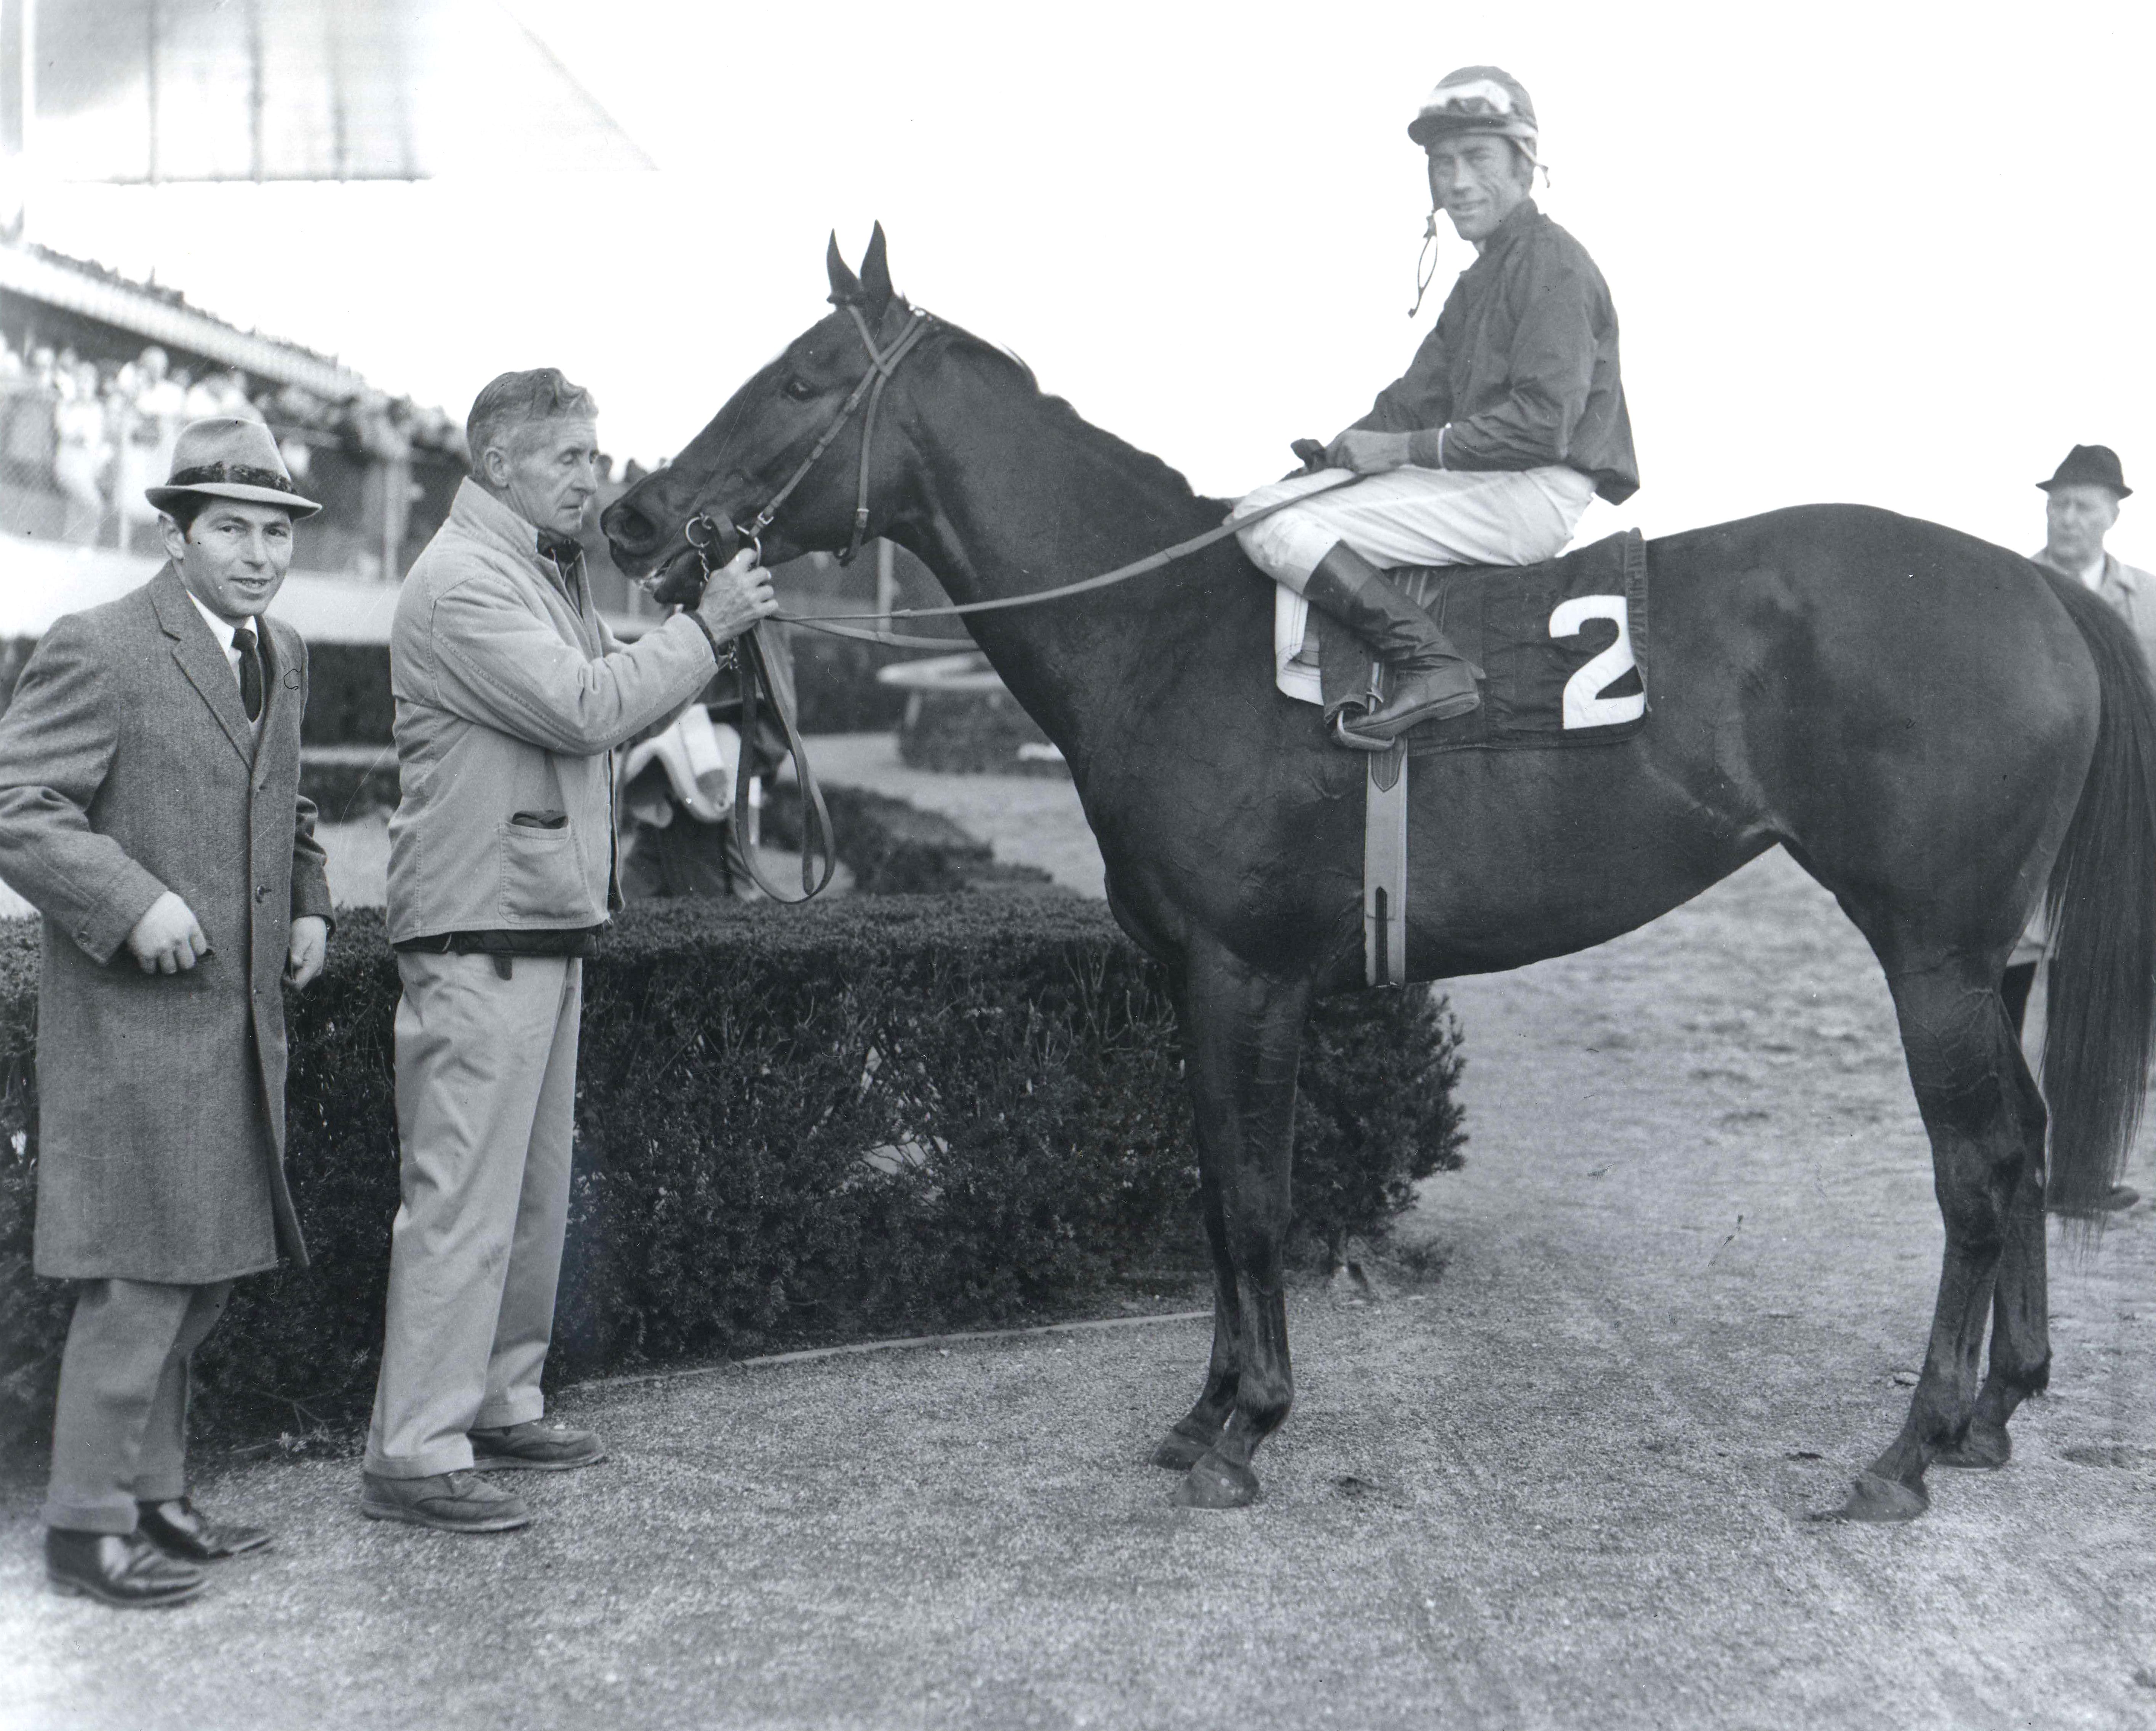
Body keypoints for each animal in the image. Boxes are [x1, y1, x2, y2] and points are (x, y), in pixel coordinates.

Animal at [604, 234, 2156, 1526]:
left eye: (802, 378)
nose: (633, 519)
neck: (1165, 627)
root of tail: (2035, 585)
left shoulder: (1247, 974)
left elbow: (1254, 1197)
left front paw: (1248, 1425)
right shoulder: (1198, 980)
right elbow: (1213, 1187)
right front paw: (1204, 1411)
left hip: (1930, 951)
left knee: (1977, 1167)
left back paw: (1909, 1448)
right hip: (1992, 958)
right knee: (2020, 1145)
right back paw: (1996, 1409)